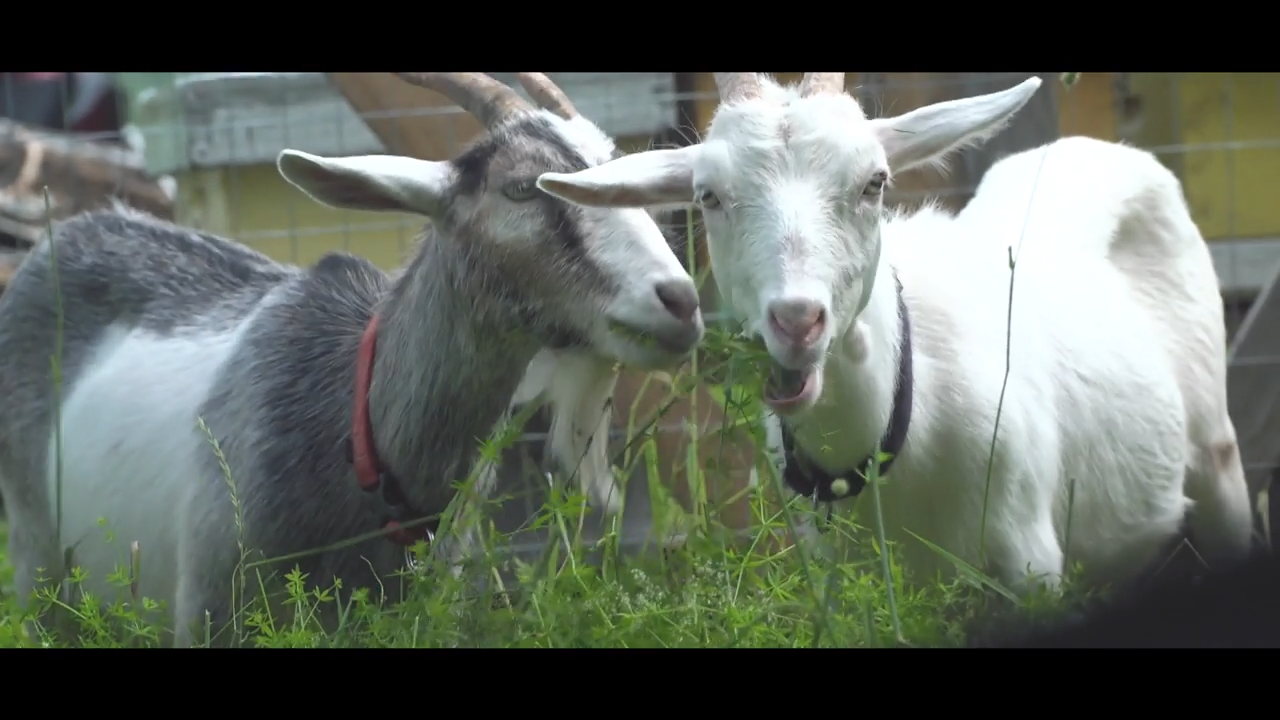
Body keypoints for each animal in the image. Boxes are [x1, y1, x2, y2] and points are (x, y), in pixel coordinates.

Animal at [0, 72, 705, 645]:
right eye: (519, 189)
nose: (679, 301)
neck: (357, 432)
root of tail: (66, 236)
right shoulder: (210, 608)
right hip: (40, 563)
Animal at [532, 72, 1256, 594]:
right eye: (707, 195)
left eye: (874, 182)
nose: (797, 320)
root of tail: (1093, 148)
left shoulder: (1030, 561)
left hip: (1215, 448)